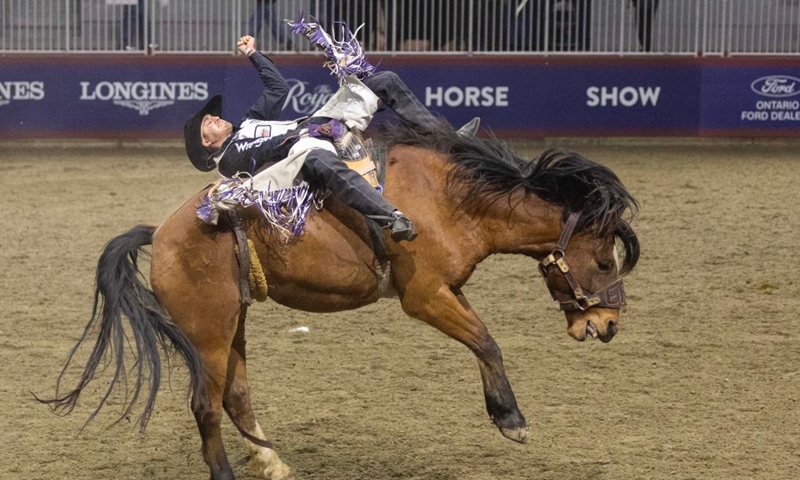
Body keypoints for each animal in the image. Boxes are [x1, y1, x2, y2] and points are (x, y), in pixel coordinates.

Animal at [39, 124, 636, 480]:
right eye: (605, 263)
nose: (607, 324)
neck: (453, 199)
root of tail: (160, 234)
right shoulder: (424, 296)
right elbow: (487, 342)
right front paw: (510, 419)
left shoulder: (450, 289)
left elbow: (481, 339)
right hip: (206, 331)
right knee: (205, 406)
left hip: (233, 323)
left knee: (236, 396)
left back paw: (273, 462)